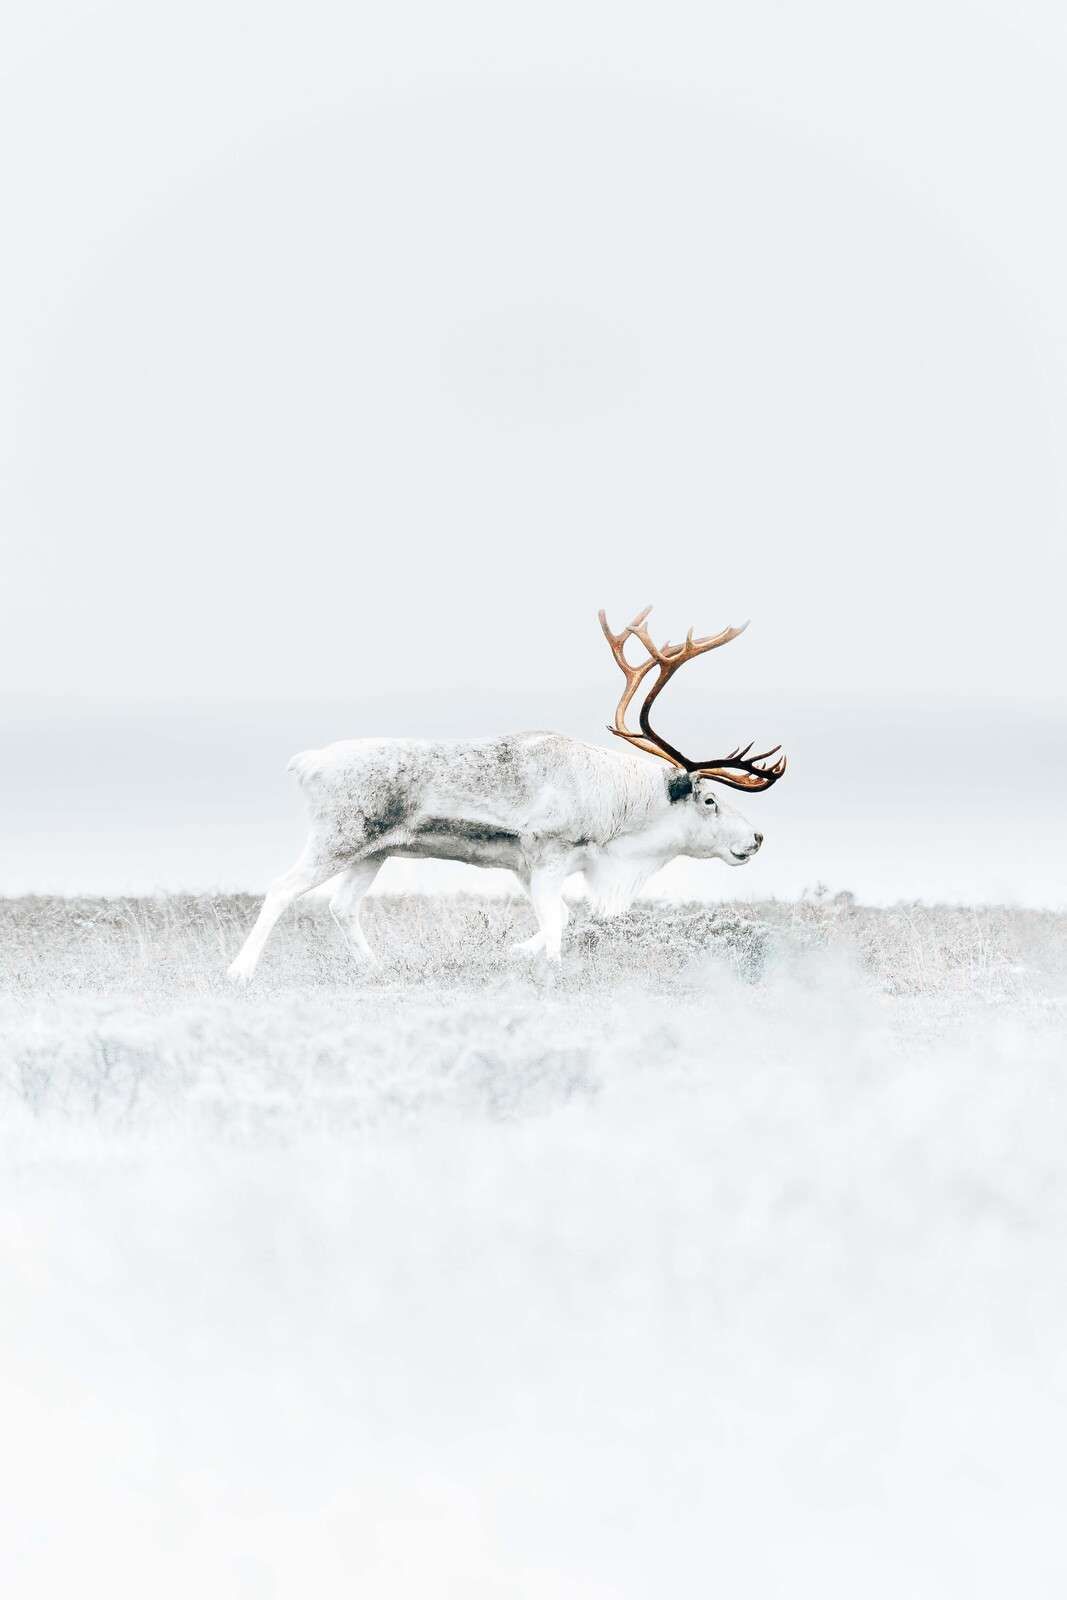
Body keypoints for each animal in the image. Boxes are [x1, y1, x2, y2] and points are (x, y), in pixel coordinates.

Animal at [226, 607, 786, 981]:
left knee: (342, 908)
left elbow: (561, 918)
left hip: (374, 852)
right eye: (709, 800)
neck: (615, 810)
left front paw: (515, 954)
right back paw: (241, 970)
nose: (757, 838)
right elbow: (559, 921)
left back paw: (377, 969)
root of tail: (307, 763)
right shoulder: (548, 856)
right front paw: (552, 973)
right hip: (337, 839)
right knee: (281, 889)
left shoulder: (528, 867)